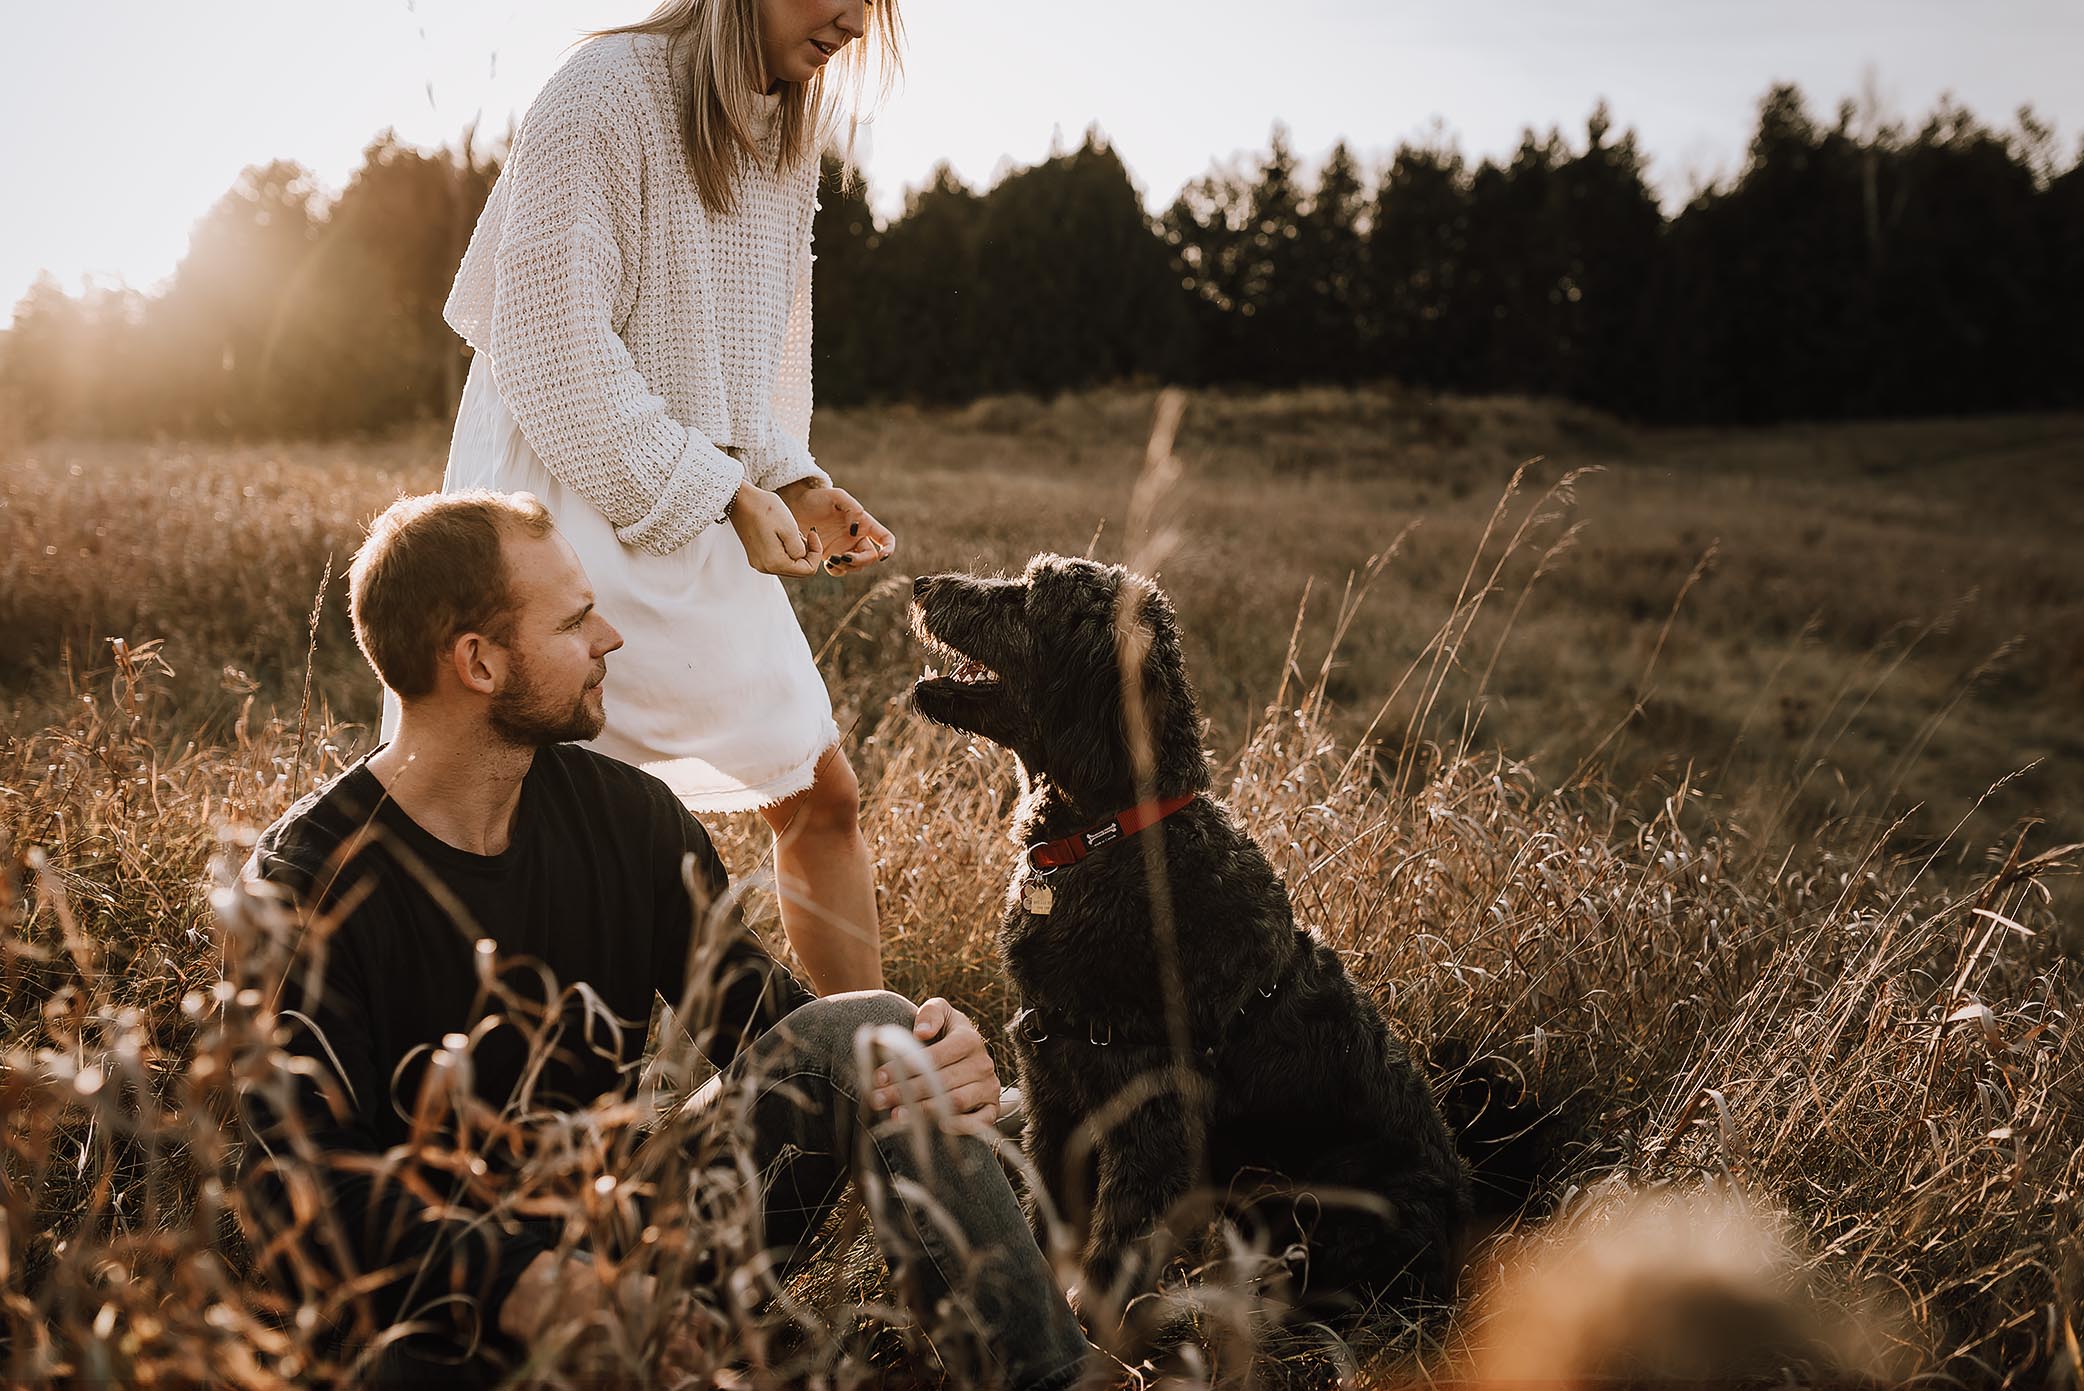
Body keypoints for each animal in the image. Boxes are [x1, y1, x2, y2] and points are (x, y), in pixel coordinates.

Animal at [908, 550, 1467, 1318]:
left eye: (1031, 595)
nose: (919, 583)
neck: (1112, 834)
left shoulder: (1151, 1116)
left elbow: (1115, 1244)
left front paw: (1095, 1328)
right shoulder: (1053, 1088)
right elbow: (1047, 1218)